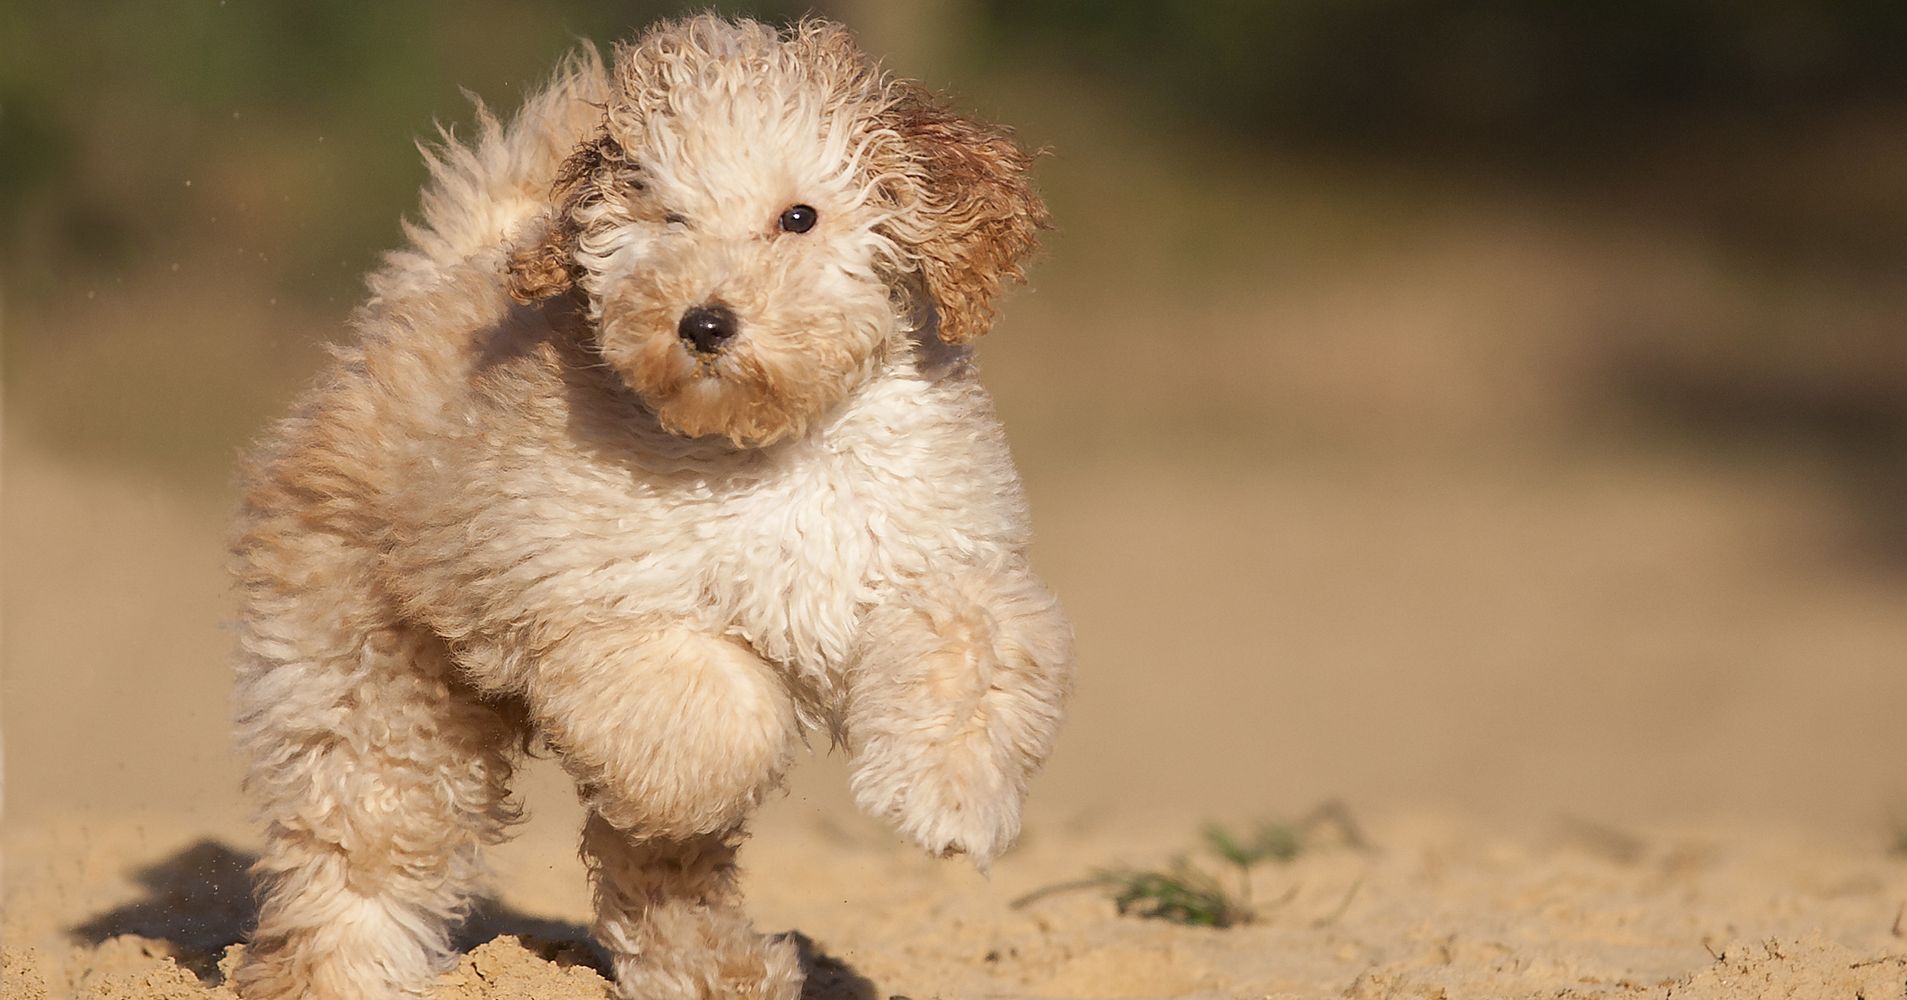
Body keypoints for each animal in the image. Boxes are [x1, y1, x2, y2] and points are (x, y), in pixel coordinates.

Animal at [228, 13, 1075, 1000]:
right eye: (668, 217)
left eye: (798, 217)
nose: (703, 323)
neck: (765, 450)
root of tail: (417, 297)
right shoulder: (599, 612)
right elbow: (714, 713)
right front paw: (729, 757)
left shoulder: (931, 559)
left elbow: (974, 652)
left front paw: (950, 798)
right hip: (370, 671)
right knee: (365, 840)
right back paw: (345, 974)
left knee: (658, 873)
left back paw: (718, 971)